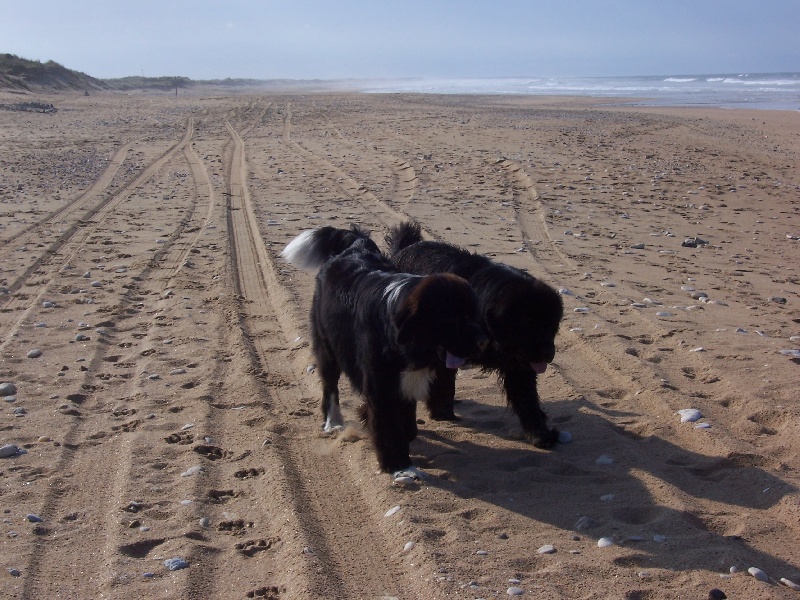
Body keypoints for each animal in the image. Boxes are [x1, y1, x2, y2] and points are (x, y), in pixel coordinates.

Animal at [282, 225, 488, 478]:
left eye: (474, 315)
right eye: (453, 318)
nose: (484, 342)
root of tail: (356, 244)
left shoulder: (405, 381)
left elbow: (405, 418)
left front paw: (402, 435)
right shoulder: (380, 385)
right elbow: (389, 427)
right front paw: (400, 466)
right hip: (328, 346)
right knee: (330, 385)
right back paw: (333, 422)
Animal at [386, 219, 564, 446]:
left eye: (551, 325)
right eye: (529, 325)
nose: (549, 354)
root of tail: (404, 249)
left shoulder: (519, 365)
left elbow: (528, 400)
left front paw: (540, 434)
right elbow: (443, 383)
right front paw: (442, 413)